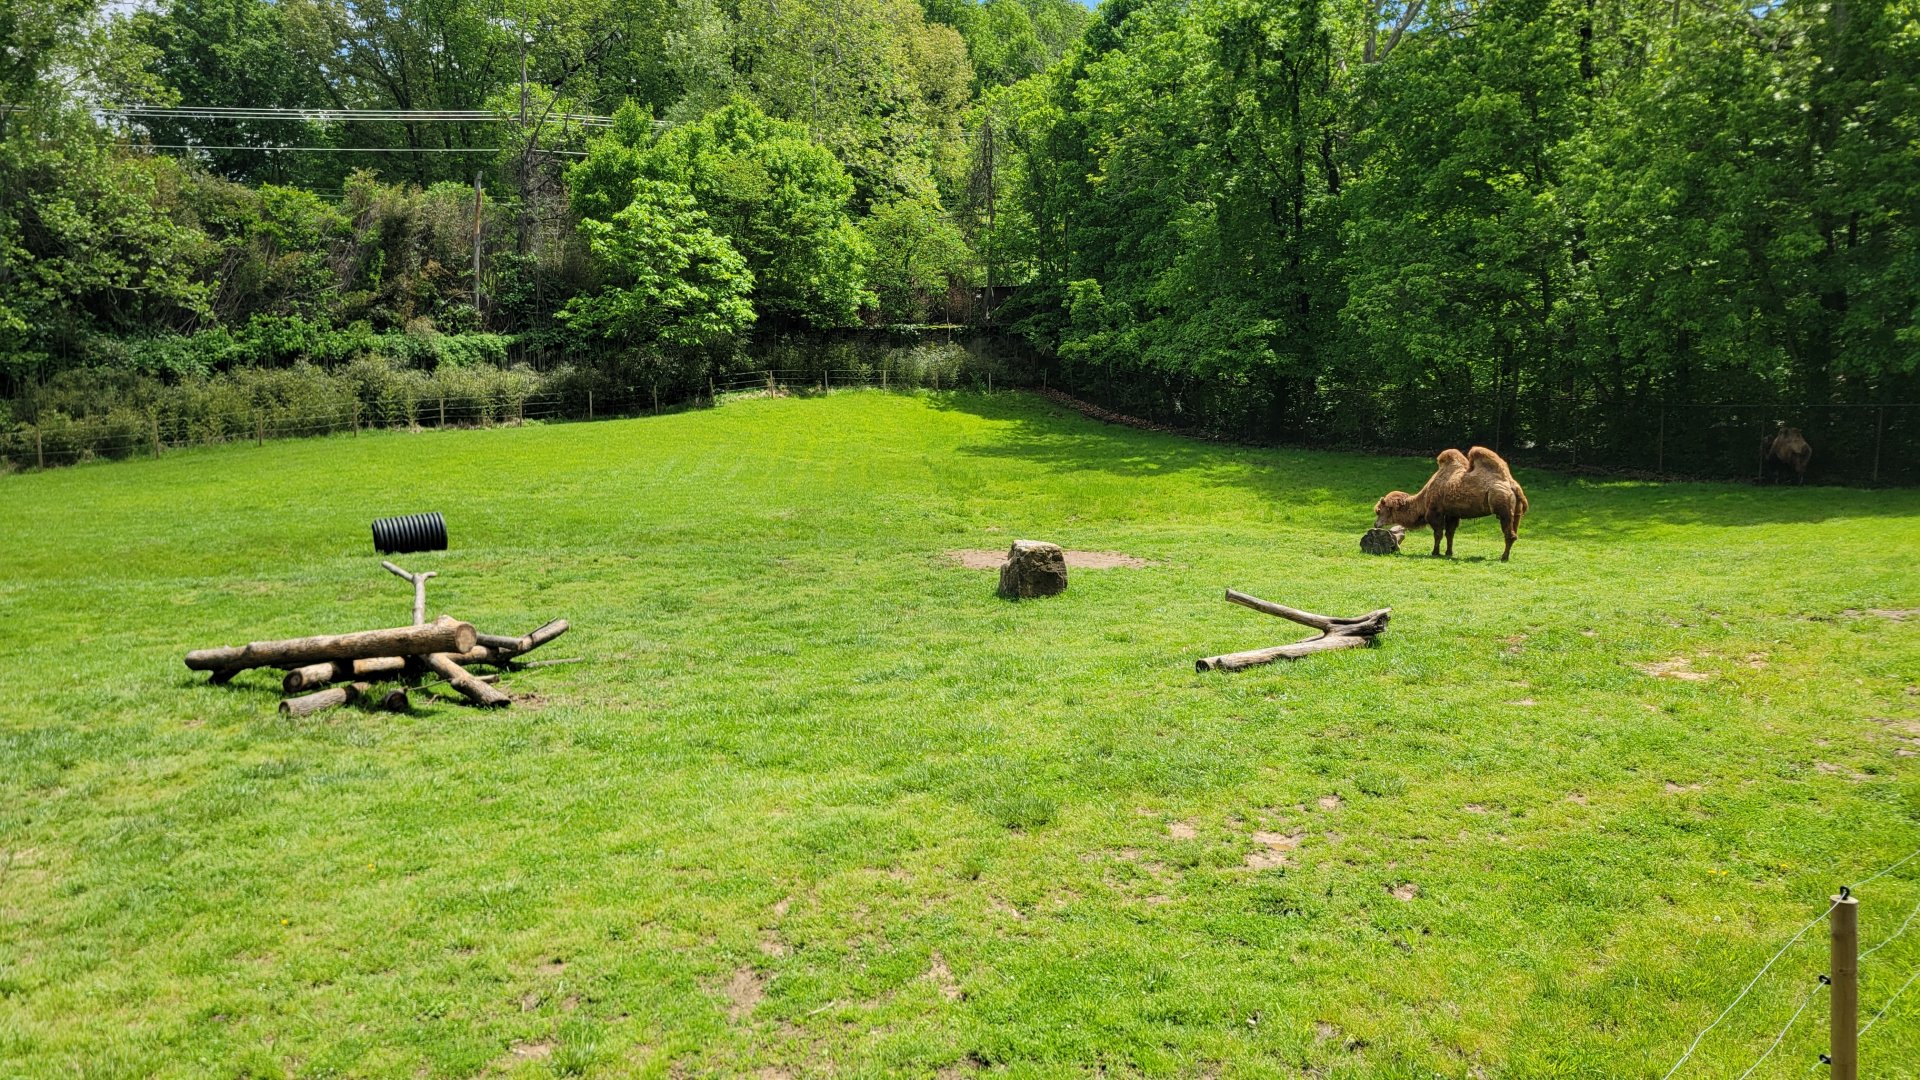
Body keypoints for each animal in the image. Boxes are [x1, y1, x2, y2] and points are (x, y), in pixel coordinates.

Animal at [1373, 446, 1530, 561]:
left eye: (1380, 510)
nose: (1376, 524)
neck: (1424, 499)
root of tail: (1513, 486)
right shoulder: (1452, 513)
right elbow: (1450, 533)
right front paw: (1449, 552)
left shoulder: (1435, 511)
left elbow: (1438, 533)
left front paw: (1435, 552)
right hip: (1516, 511)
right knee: (1514, 530)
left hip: (1502, 505)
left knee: (1509, 532)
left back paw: (1504, 557)